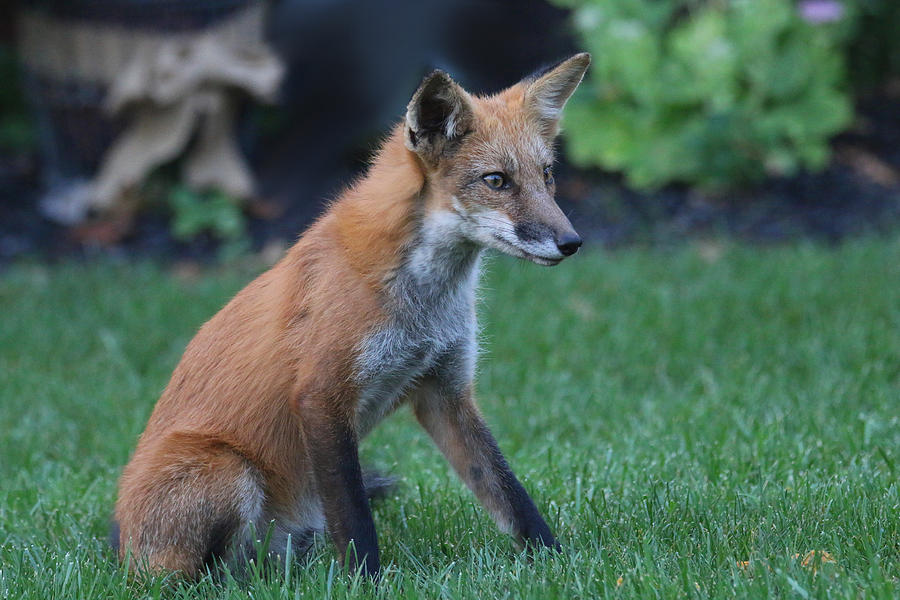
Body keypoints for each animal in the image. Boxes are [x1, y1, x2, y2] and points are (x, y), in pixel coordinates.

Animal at [112, 54, 592, 580]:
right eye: (496, 180)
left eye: (547, 175)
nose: (572, 243)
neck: (423, 307)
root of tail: (118, 544)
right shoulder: (322, 395)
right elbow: (354, 516)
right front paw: (366, 581)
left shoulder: (445, 393)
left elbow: (509, 494)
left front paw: (555, 561)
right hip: (228, 472)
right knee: (193, 576)